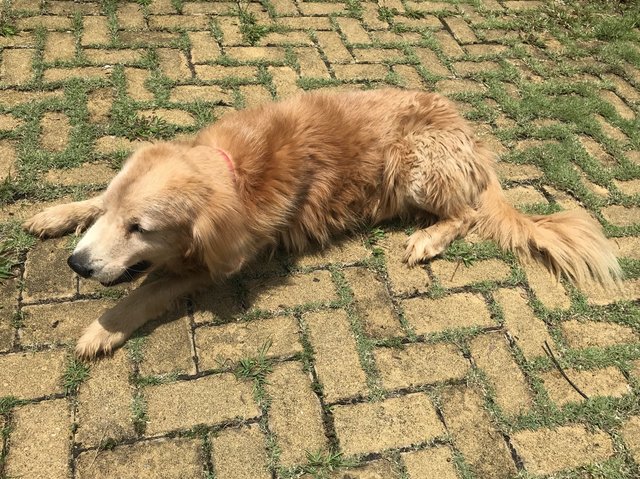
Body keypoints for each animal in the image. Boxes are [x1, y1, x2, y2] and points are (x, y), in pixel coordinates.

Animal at [23, 88, 620, 358]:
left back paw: (428, 238)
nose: (76, 264)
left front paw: (103, 327)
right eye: (117, 214)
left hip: (414, 163)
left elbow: (146, 288)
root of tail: (470, 136)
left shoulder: (221, 261)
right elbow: (89, 203)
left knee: (467, 214)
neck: (234, 171)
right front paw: (58, 213)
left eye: (141, 229)